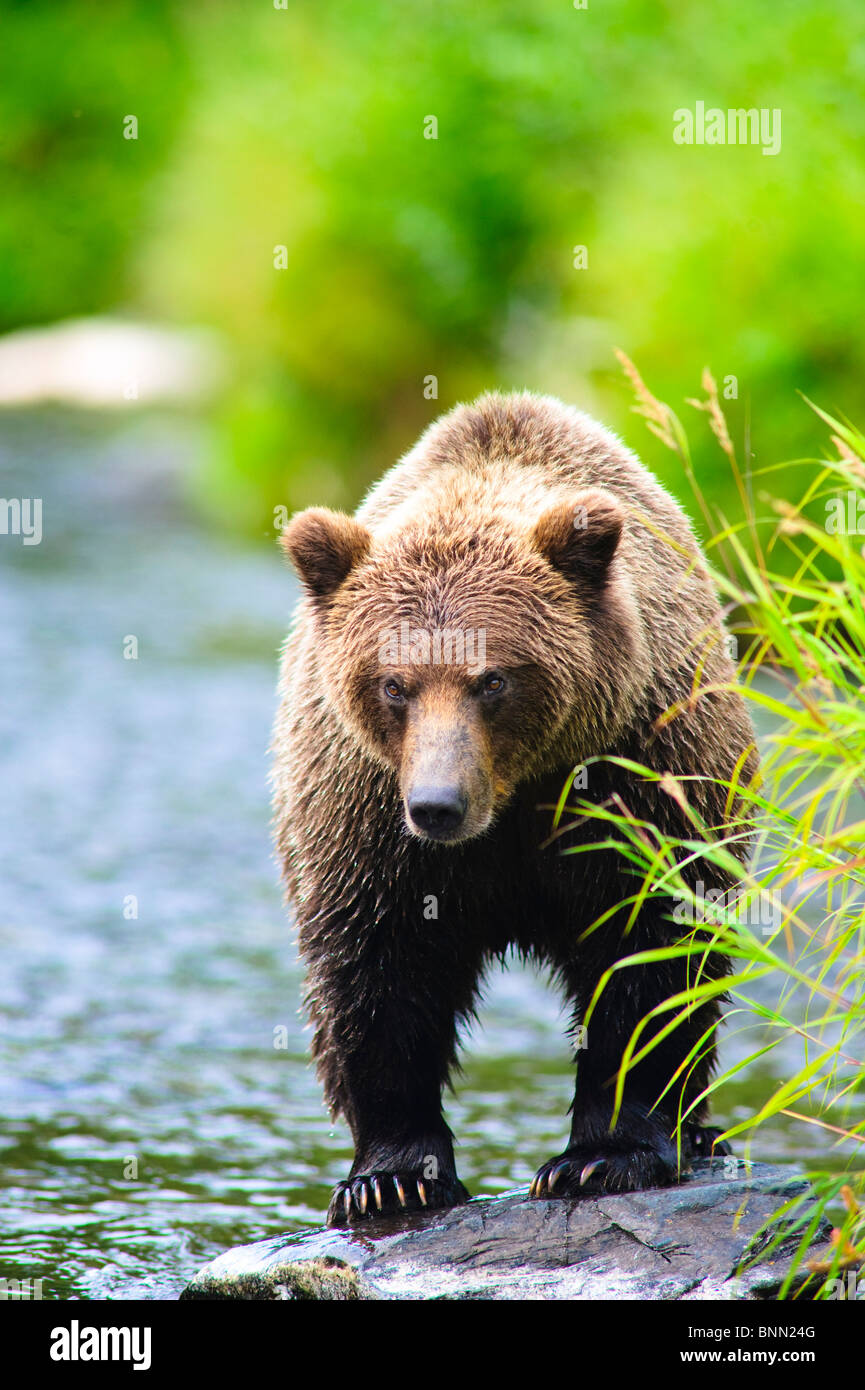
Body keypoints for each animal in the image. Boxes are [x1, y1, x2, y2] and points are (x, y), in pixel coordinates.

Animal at [271, 392, 758, 1226]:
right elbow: (377, 969)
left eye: (491, 679)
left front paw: (599, 1157)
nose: (437, 805)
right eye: (393, 682)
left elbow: (648, 955)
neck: (517, 794)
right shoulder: (364, 814)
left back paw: (701, 1131)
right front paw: (389, 1176)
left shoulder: (639, 774)